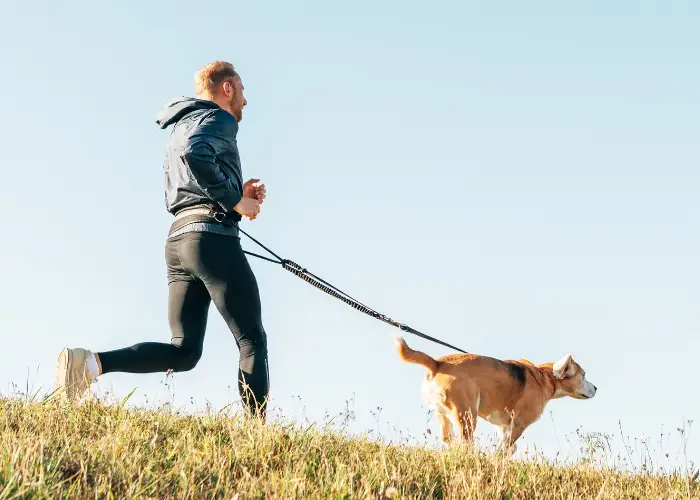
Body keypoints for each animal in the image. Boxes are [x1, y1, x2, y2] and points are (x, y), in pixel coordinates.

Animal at [394, 336, 596, 454]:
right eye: (583, 375)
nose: (596, 388)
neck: (544, 376)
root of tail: (437, 363)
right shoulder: (518, 424)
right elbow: (505, 448)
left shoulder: (503, 426)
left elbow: (507, 447)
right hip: (467, 415)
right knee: (465, 442)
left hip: (443, 413)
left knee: (447, 438)